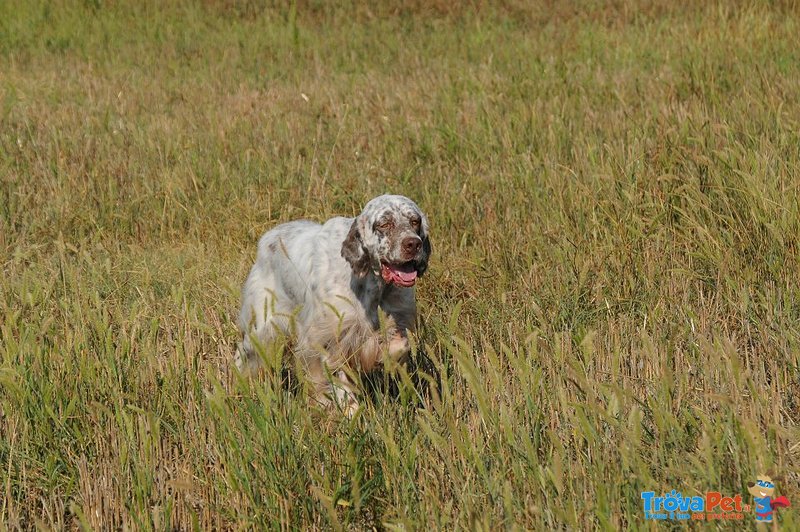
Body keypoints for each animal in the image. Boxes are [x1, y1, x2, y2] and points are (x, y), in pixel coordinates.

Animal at [234, 195, 432, 416]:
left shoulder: (396, 320)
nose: (413, 244)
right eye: (384, 224)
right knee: (243, 356)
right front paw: (349, 411)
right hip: (262, 330)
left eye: (415, 221)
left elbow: (398, 347)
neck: (372, 285)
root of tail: (269, 237)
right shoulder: (329, 337)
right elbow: (337, 381)